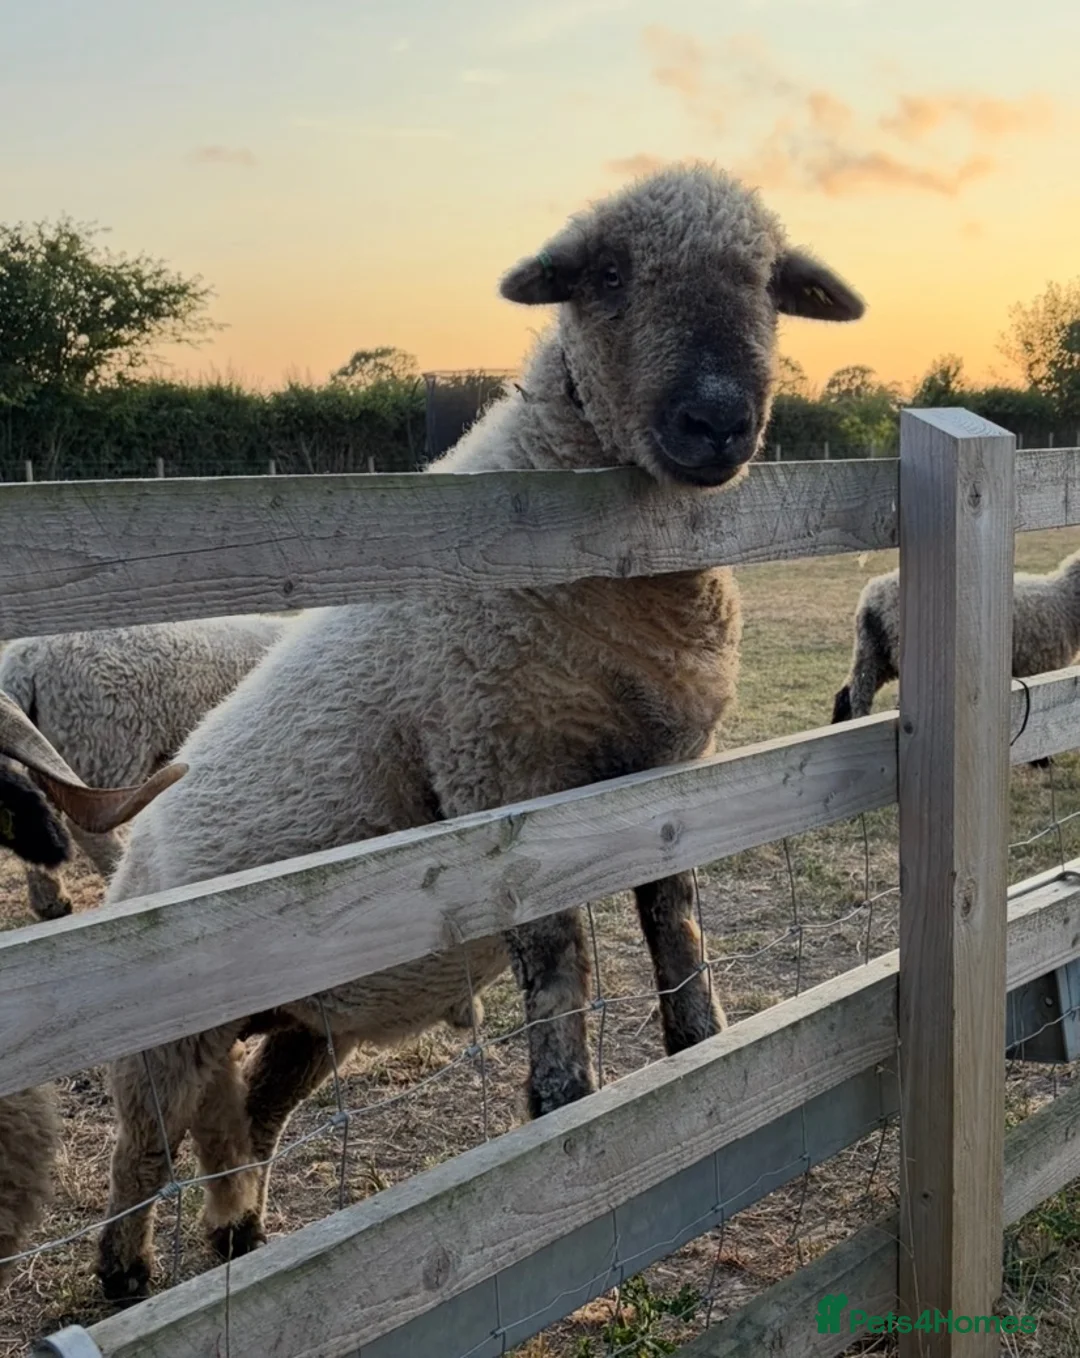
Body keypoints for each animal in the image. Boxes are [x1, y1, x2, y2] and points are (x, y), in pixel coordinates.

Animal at [95, 161, 866, 1302]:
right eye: (605, 274)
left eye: (772, 283)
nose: (720, 419)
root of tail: (131, 848)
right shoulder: (500, 773)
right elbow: (559, 955)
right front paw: (566, 1100)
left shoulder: (674, 777)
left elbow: (674, 914)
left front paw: (700, 1043)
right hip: (167, 1031)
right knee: (141, 1151)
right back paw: (127, 1272)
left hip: (309, 1019)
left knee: (248, 1120)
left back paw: (241, 1237)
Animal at [831, 550, 1080, 768]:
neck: (1065, 600)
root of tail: (872, 597)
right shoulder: (1040, 668)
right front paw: (1041, 761)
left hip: (872, 652)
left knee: (849, 693)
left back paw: (841, 726)